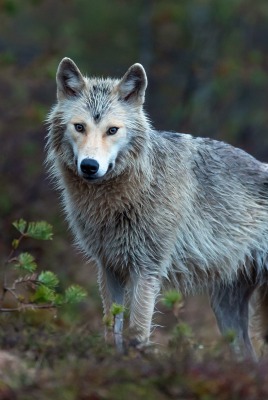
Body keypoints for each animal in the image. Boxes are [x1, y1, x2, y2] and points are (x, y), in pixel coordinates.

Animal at [46, 57, 268, 356]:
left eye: (112, 130)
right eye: (79, 127)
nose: (90, 166)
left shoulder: (147, 269)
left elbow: (138, 331)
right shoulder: (109, 268)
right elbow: (110, 329)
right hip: (225, 309)